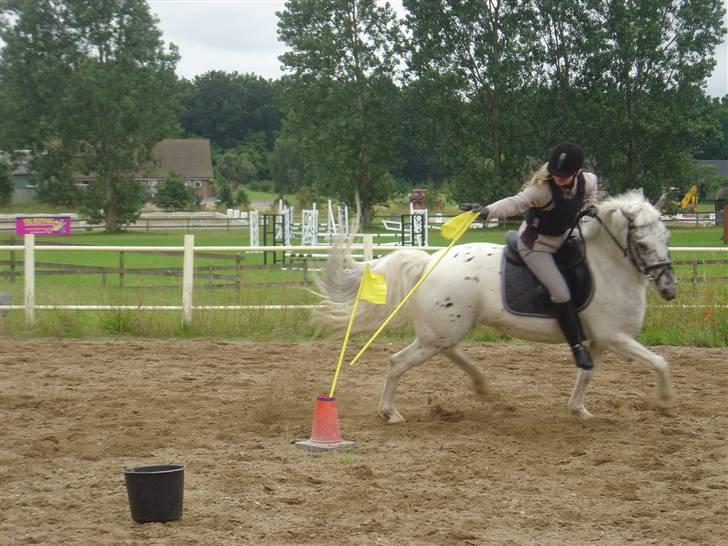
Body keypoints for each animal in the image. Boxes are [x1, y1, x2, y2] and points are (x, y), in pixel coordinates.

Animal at [316, 190, 680, 420]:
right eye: (642, 244)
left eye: (666, 238)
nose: (669, 289)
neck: (607, 268)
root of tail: (429, 261)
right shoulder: (616, 338)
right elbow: (660, 362)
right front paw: (665, 402)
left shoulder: (600, 341)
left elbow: (586, 375)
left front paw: (579, 410)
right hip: (438, 334)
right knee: (397, 363)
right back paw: (390, 413)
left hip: (444, 331)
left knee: (450, 352)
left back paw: (483, 387)